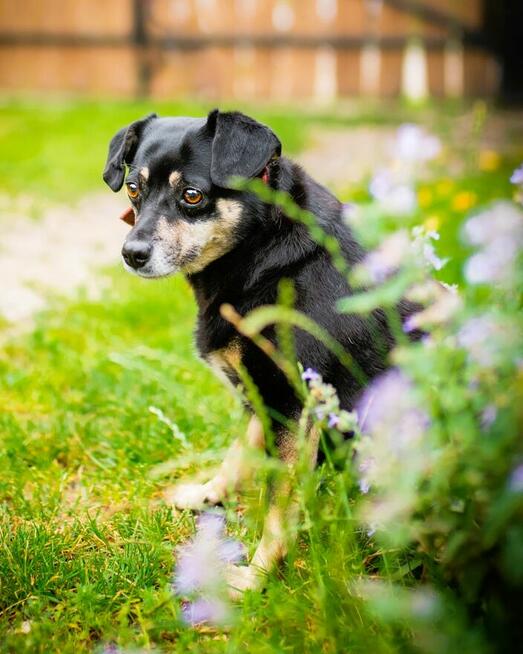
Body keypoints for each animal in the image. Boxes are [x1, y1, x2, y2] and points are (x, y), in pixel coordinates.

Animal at [104, 110, 420, 596]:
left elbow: (278, 505)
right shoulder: (260, 396)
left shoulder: (294, 406)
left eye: (192, 195)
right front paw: (208, 495)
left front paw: (256, 577)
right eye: (135, 189)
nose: (132, 253)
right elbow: (238, 455)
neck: (261, 253)